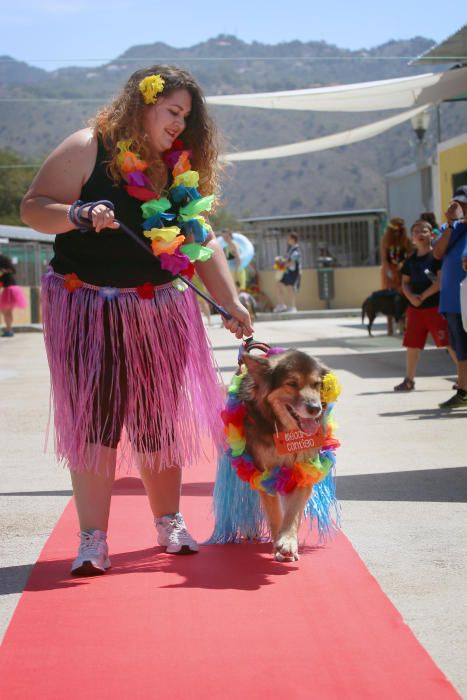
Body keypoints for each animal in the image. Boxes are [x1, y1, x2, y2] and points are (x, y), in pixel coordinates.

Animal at [238, 350, 330, 564]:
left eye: (316, 384)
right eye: (292, 383)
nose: (315, 408)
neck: (287, 432)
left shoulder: (304, 471)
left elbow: (293, 512)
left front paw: (287, 541)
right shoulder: (266, 474)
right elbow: (274, 514)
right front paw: (279, 545)